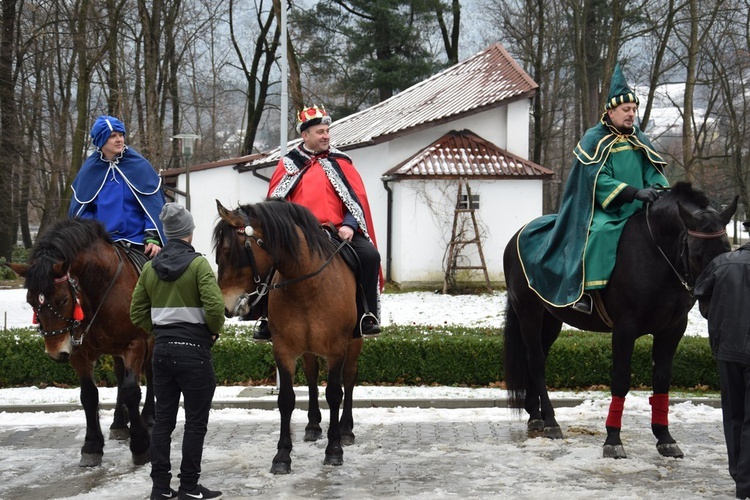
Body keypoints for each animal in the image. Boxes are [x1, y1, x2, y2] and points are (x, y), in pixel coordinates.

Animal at [7, 221, 153, 466]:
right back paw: (119, 423)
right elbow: (89, 395)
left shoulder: (135, 343)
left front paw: (141, 445)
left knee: (151, 374)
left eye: (63, 299)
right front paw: (92, 445)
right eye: (30, 301)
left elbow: (132, 391)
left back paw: (149, 416)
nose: (55, 353)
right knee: (119, 375)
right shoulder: (78, 352)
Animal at [214, 198, 364, 472]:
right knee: (312, 376)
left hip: (354, 342)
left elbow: (334, 393)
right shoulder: (283, 349)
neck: (306, 286)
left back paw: (346, 430)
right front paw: (282, 455)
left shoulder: (337, 348)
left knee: (349, 378)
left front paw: (334, 449)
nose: (227, 307)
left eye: (229, 250)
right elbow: (286, 399)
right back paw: (313, 425)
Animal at [502, 182, 736, 458]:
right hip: (528, 312)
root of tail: (519, 234)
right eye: (697, 254)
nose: (710, 303)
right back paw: (550, 421)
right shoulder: (625, 328)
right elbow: (621, 380)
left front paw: (664, 437)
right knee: (536, 361)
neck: (656, 253)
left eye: (726, 249)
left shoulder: (672, 329)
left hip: (551, 318)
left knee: (536, 357)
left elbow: (662, 380)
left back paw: (535, 416)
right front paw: (613, 439)